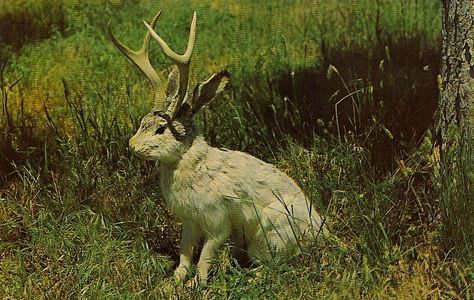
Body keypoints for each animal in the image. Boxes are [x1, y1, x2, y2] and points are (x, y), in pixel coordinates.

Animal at [109, 9, 328, 286]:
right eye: (141, 122)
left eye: (161, 129)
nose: (132, 145)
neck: (188, 160)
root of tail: (320, 232)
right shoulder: (190, 223)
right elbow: (185, 252)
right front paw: (174, 282)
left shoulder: (217, 224)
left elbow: (205, 256)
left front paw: (196, 284)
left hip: (270, 235)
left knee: (274, 266)